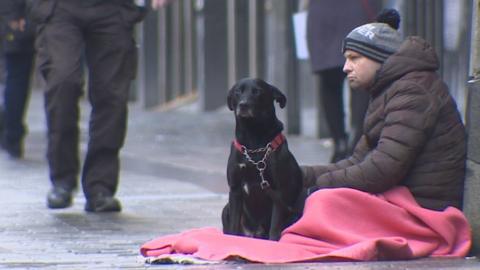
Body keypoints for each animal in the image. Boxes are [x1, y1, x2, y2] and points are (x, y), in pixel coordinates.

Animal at [222, 77, 304, 240]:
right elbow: (233, 227)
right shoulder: (235, 190)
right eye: (237, 91)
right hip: (225, 209)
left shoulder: (278, 192)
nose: (243, 105)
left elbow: (274, 228)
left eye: (257, 91)